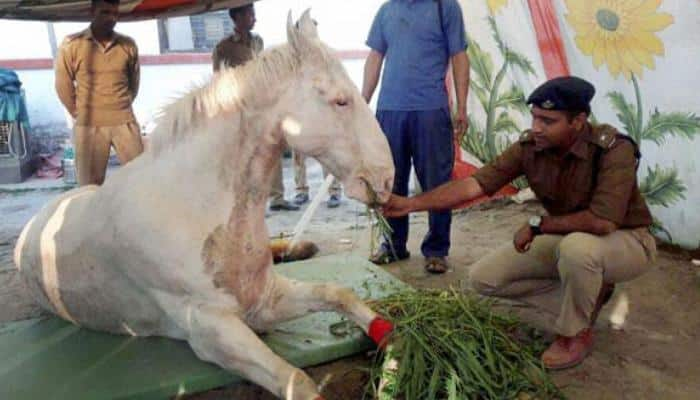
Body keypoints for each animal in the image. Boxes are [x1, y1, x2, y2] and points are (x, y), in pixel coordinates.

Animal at [13, 12, 394, 400]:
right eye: (340, 101)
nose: (386, 180)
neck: (194, 206)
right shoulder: (211, 328)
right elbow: (297, 380)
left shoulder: (264, 299)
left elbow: (340, 295)